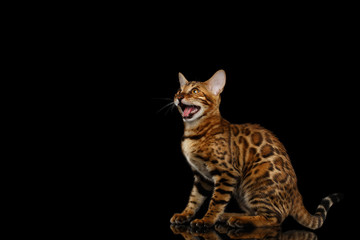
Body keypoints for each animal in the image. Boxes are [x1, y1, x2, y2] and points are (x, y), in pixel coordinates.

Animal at [170, 69, 342, 229]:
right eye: (179, 90)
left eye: (195, 91)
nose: (179, 97)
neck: (193, 132)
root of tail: (296, 194)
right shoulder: (202, 177)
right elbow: (194, 199)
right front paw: (184, 215)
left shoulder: (226, 173)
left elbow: (216, 201)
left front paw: (207, 220)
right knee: (255, 212)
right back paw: (228, 216)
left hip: (256, 182)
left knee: (274, 219)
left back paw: (239, 220)